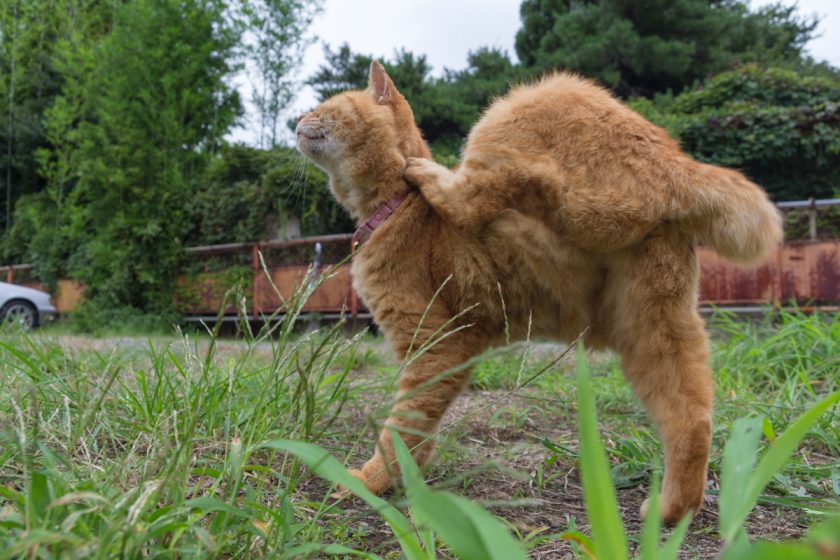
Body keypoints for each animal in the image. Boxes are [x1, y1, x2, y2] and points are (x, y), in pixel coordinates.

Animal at [296, 63, 780, 524]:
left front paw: (370, 482)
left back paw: (433, 177)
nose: (295, 119)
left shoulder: (436, 345)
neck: (395, 206)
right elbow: (416, 427)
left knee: (481, 194)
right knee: (692, 416)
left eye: (327, 105)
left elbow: (402, 422)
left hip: (513, 110)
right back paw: (673, 511)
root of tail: (676, 163)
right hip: (654, 327)